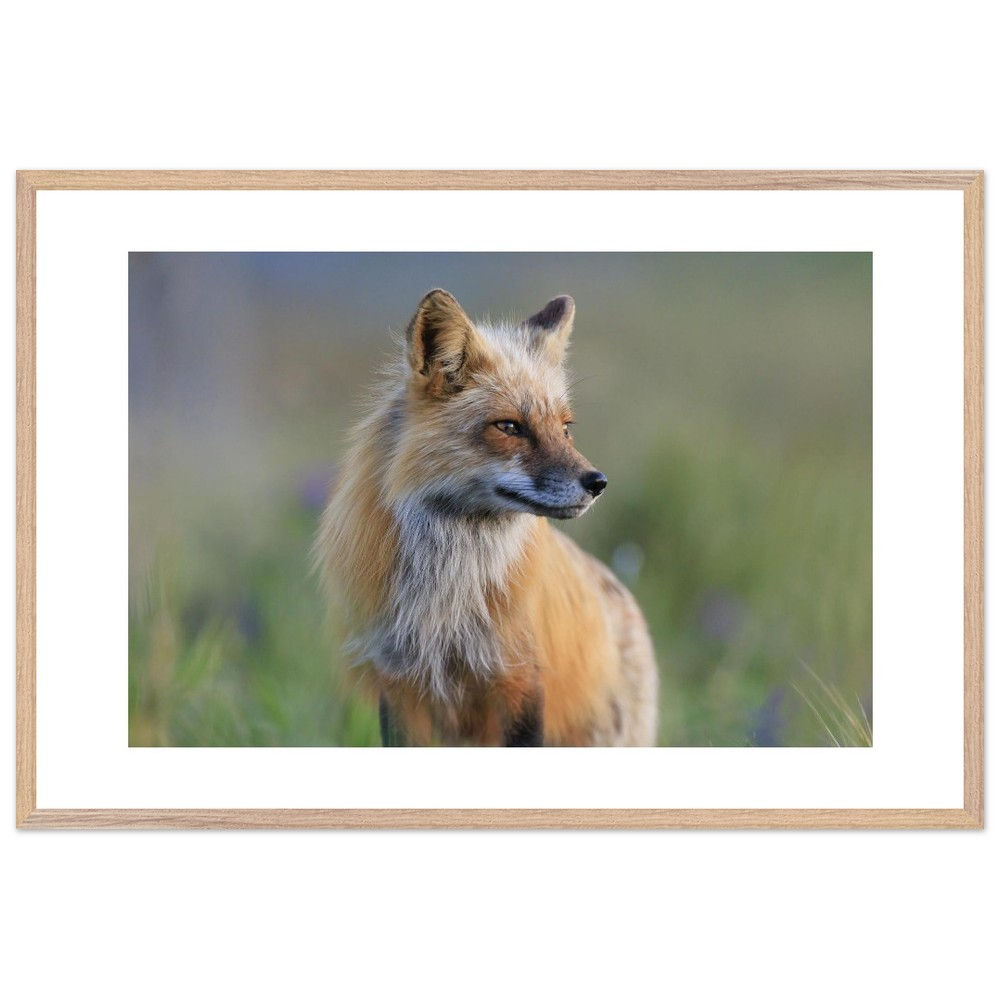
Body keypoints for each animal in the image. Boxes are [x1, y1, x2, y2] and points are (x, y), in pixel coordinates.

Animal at [315, 288, 659, 746]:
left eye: (565, 429)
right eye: (509, 427)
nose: (598, 482)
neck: (447, 598)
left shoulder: (518, 678)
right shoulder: (399, 683)